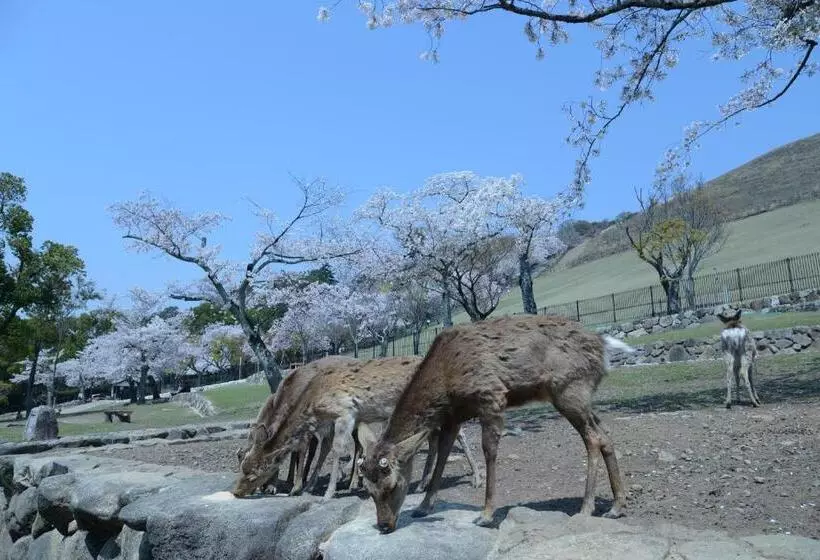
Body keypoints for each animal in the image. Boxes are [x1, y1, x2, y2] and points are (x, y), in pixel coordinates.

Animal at [232, 356, 482, 500]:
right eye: (242, 466)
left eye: (253, 474)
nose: (236, 491)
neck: (314, 400)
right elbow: (326, 450)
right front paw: (309, 487)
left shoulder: (344, 412)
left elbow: (335, 450)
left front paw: (323, 492)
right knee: (435, 438)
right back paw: (421, 484)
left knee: (458, 433)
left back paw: (476, 479)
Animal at [356, 314, 635, 533]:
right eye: (367, 490)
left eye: (392, 485)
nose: (384, 525)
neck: (445, 383)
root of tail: (602, 345)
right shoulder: (453, 417)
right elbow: (443, 456)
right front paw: (424, 507)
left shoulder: (491, 396)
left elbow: (489, 451)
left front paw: (486, 513)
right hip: (582, 397)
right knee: (605, 433)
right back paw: (616, 506)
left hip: (568, 390)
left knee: (592, 438)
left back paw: (586, 507)